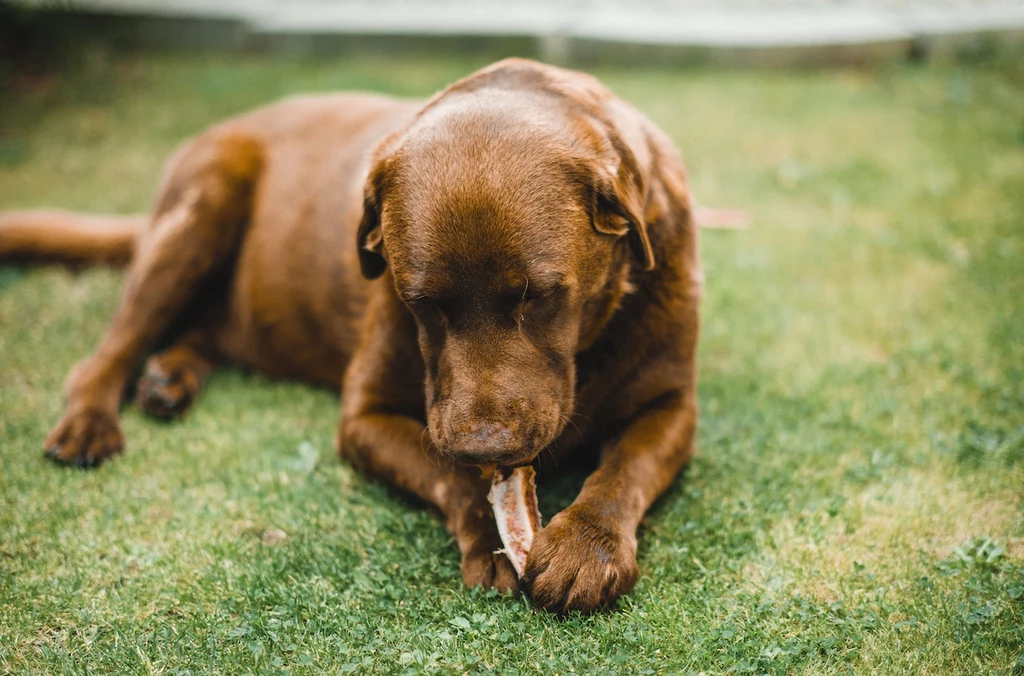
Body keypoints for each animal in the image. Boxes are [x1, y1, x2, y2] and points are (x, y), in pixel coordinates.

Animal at [2, 59, 712, 614]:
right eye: (421, 301)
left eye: (537, 296)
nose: (486, 446)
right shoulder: (364, 416)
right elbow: (448, 475)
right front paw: (491, 537)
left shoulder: (672, 404)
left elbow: (626, 468)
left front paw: (585, 547)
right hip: (201, 207)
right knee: (109, 351)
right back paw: (91, 422)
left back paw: (167, 379)